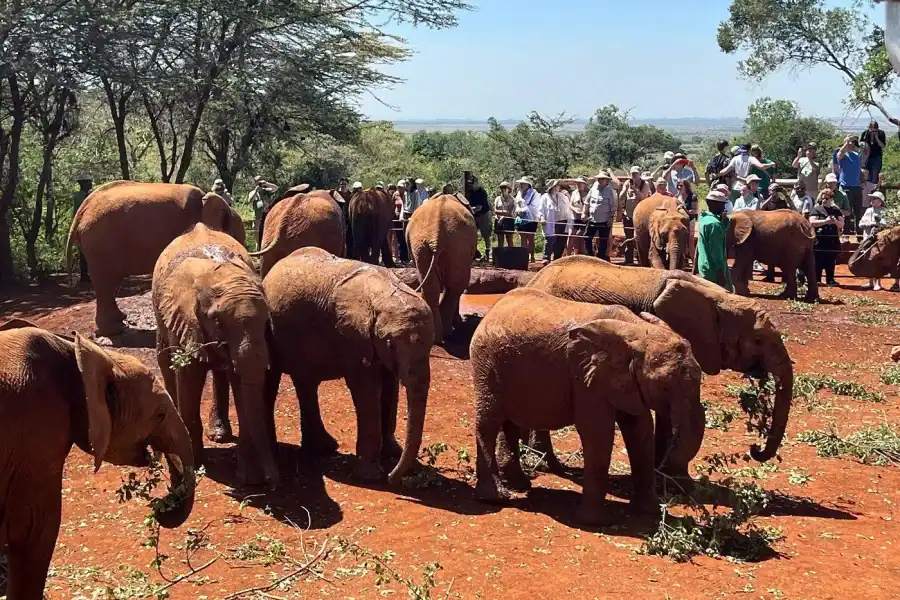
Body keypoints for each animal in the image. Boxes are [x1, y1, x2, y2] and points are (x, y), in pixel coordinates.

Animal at [65, 181, 243, 336]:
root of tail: (80, 213)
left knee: (110, 283)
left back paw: (120, 320)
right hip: (101, 243)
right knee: (106, 282)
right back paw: (114, 330)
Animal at [152, 223, 279, 487]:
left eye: (266, 322)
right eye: (218, 323)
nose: (274, 481)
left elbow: (242, 385)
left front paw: (247, 477)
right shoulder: (184, 319)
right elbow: (188, 378)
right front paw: (197, 465)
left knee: (222, 374)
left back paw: (220, 435)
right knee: (166, 363)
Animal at [263, 247, 434, 483]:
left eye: (432, 345)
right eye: (391, 344)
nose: (392, 477)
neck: (383, 292)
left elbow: (390, 386)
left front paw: (392, 454)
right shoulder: (352, 337)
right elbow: (366, 389)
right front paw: (371, 477)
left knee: (305, 383)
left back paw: (322, 448)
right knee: (273, 380)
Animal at [405, 194, 478, 343]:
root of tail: (435, 234)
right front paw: (458, 323)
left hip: (421, 245)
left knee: (432, 286)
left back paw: (437, 338)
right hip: (457, 245)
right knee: (457, 285)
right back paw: (447, 332)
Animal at [470, 288, 703, 526]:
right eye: (664, 386)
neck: (636, 331)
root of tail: (493, 309)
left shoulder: (624, 382)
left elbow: (640, 430)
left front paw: (650, 512)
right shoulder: (586, 378)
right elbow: (598, 432)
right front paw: (595, 522)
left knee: (509, 422)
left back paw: (519, 485)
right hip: (486, 363)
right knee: (489, 421)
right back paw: (495, 498)